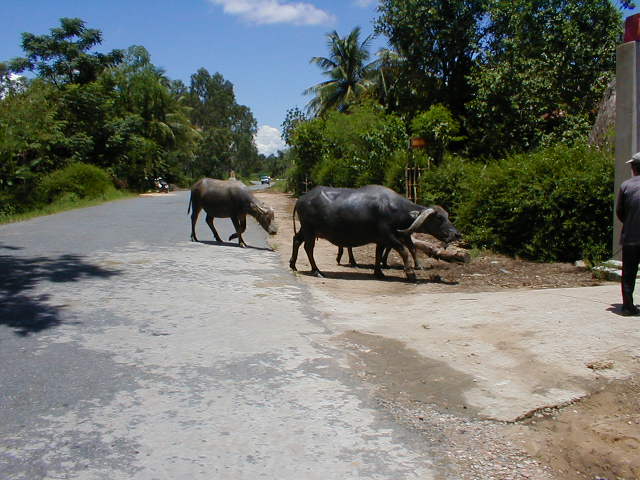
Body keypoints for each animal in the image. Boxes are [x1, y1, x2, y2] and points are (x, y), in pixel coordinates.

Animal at [290, 185, 460, 282]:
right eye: (439, 218)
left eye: (447, 216)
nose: (457, 234)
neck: (395, 210)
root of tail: (301, 199)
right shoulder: (390, 237)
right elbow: (404, 251)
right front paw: (410, 273)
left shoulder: (382, 240)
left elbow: (379, 254)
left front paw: (379, 272)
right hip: (310, 230)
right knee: (308, 248)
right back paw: (317, 271)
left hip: (305, 229)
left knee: (296, 240)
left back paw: (293, 265)